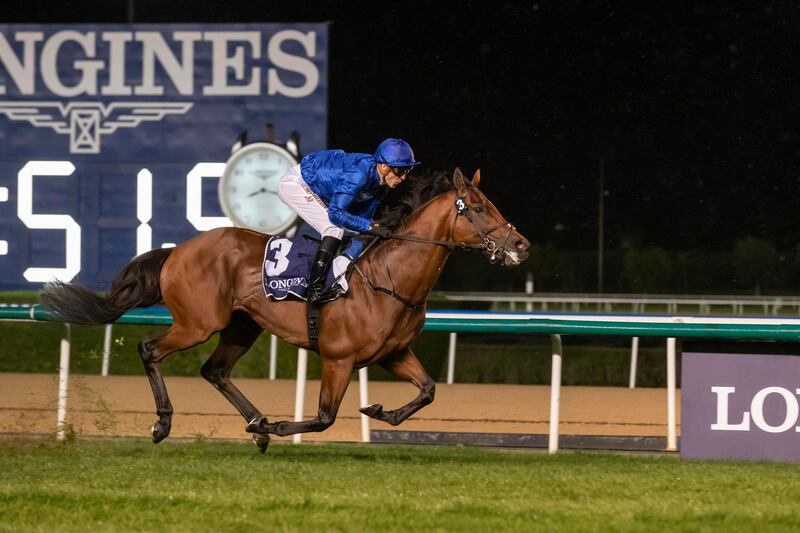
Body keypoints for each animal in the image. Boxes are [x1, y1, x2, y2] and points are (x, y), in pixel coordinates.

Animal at [42, 166, 532, 448]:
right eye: (480, 208)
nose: (521, 245)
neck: (389, 278)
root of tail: (178, 249)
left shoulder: (392, 353)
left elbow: (428, 390)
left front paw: (379, 412)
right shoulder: (338, 358)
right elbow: (324, 417)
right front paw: (276, 428)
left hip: (242, 327)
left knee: (214, 370)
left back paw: (255, 422)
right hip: (198, 323)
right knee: (150, 350)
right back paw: (164, 425)